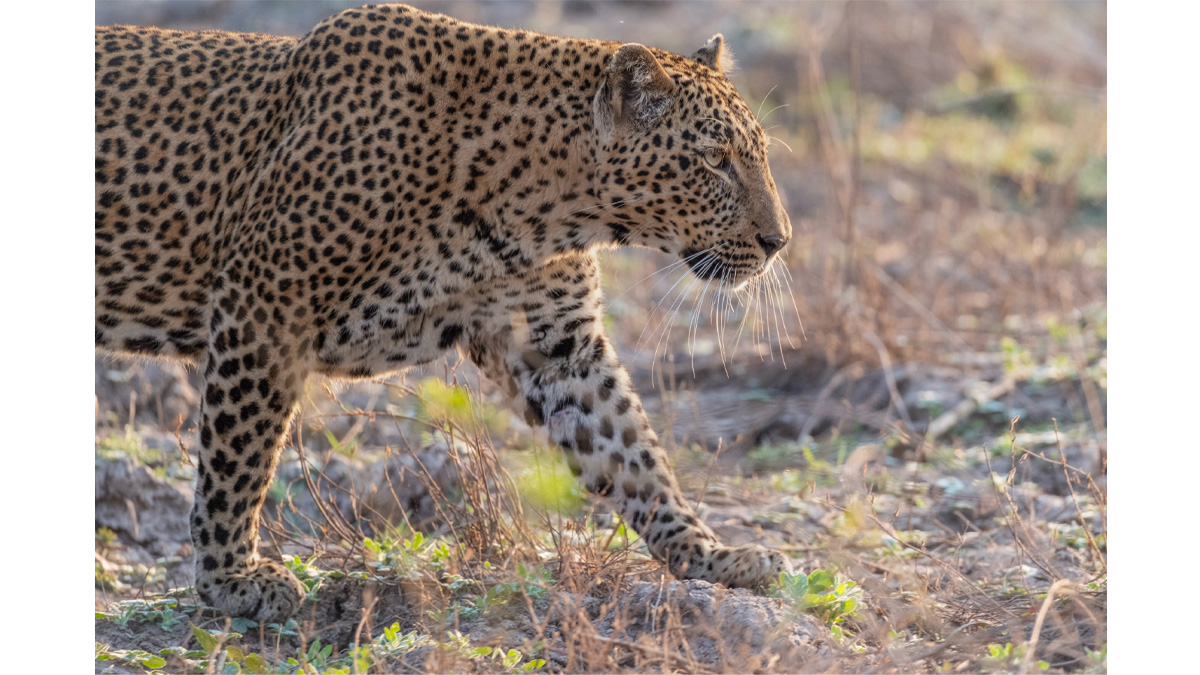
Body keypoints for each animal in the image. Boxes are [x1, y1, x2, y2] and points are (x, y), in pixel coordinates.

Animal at [96, 3, 794, 623]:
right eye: (714, 161)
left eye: (758, 154)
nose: (779, 241)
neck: (542, 204)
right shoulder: (265, 305)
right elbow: (240, 456)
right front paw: (230, 579)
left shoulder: (559, 346)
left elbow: (634, 455)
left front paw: (712, 557)